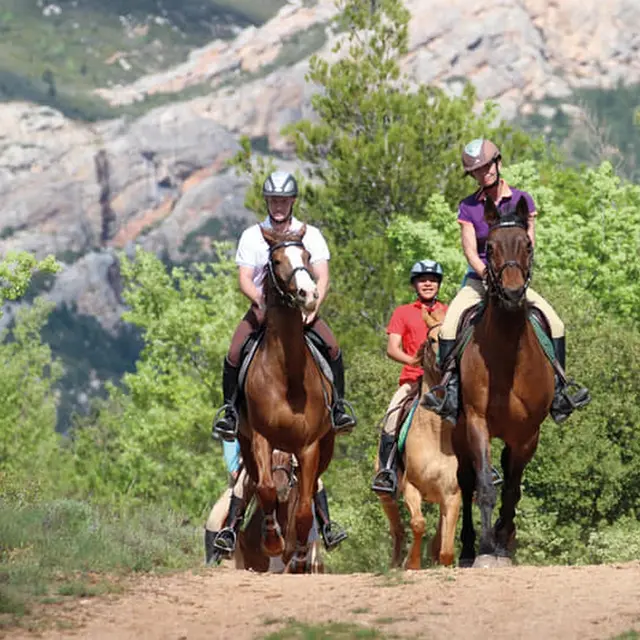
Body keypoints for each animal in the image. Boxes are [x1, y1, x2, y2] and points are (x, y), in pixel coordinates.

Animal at [237, 225, 336, 573]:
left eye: (307, 255)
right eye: (276, 260)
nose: (308, 294)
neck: (286, 377)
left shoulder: (309, 447)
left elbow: (305, 509)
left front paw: (300, 555)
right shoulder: (261, 438)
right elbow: (266, 490)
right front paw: (272, 541)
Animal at [378, 308, 461, 569]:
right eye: (433, 340)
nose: (448, 365)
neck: (435, 434)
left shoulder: (453, 494)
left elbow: (446, 548)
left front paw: (440, 560)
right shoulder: (410, 486)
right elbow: (418, 524)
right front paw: (412, 563)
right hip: (386, 495)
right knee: (398, 530)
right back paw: (396, 562)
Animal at [452, 195, 555, 568]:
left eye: (528, 245)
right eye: (490, 247)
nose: (511, 294)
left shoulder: (527, 432)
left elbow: (512, 487)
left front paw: (503, 543)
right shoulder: (476, 422)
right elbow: (485, 484)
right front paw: (485, 549)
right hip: (457, 431)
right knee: (465, 481)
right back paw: (469, 549)